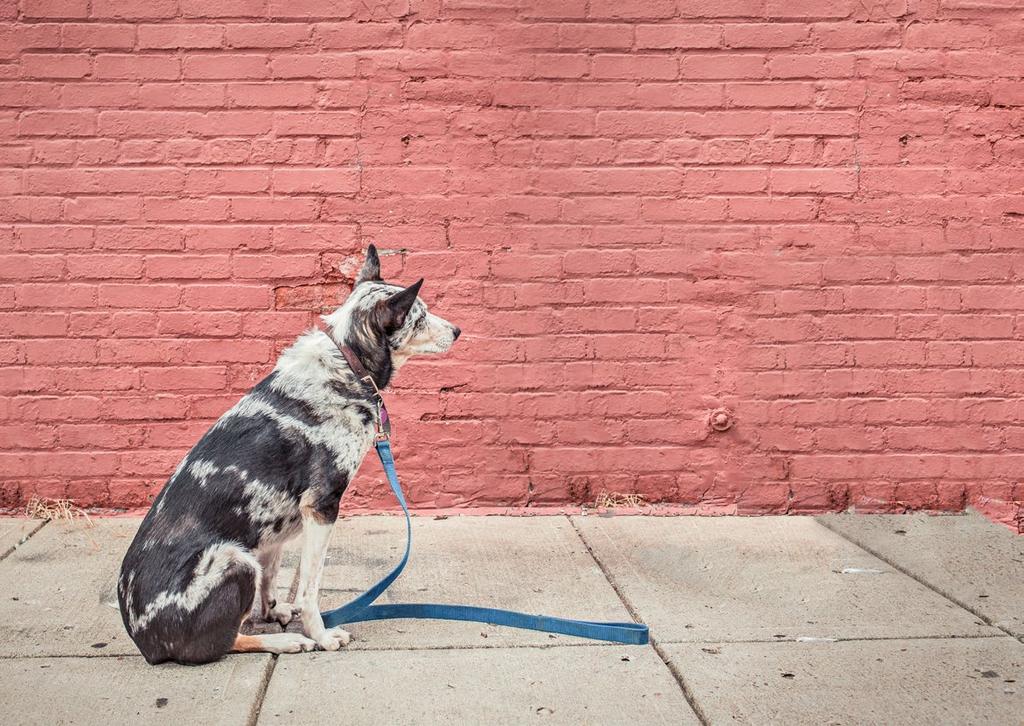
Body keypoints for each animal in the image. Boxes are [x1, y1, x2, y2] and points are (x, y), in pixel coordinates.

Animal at [115, 246, 460, 663]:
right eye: (420, 316)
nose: (457, 331)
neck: (349, 362)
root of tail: (146, 643)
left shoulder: (275, 527)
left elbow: (274, 572)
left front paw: (273, 611)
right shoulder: (321, 507)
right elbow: (310, 588)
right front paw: (320, 634)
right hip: (235, 560)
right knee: (223, 642)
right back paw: (287, 642)